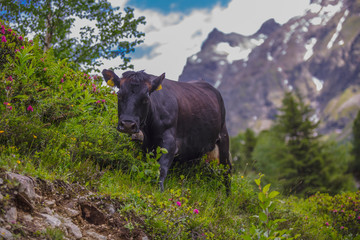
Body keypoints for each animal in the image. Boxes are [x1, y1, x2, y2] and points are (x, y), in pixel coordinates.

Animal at [102, 69, 231, 193]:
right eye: (119, 95)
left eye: (146, 98)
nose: (128, 125)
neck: (149, 132)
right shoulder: (147, 146)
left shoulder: (170, 142)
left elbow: (161, 168)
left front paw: (159, 190)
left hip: (223, 138)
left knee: (227, 171)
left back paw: (227, 196)